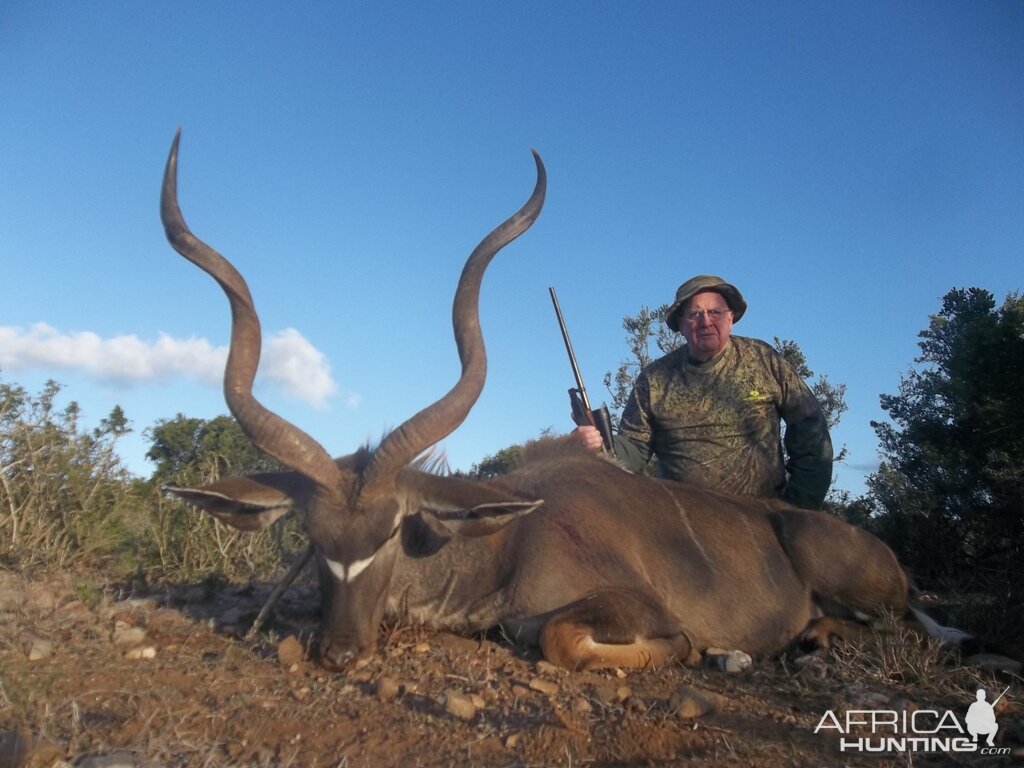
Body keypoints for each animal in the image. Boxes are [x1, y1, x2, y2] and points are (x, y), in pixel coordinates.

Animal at [159, 132, 950, 671]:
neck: (503, 543)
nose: (341, 652)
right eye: (313, 537)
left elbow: (567, 639)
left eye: (391, 531)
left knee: (905, 625)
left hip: (857, 581)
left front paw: (706, 650)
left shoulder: (626, 605)